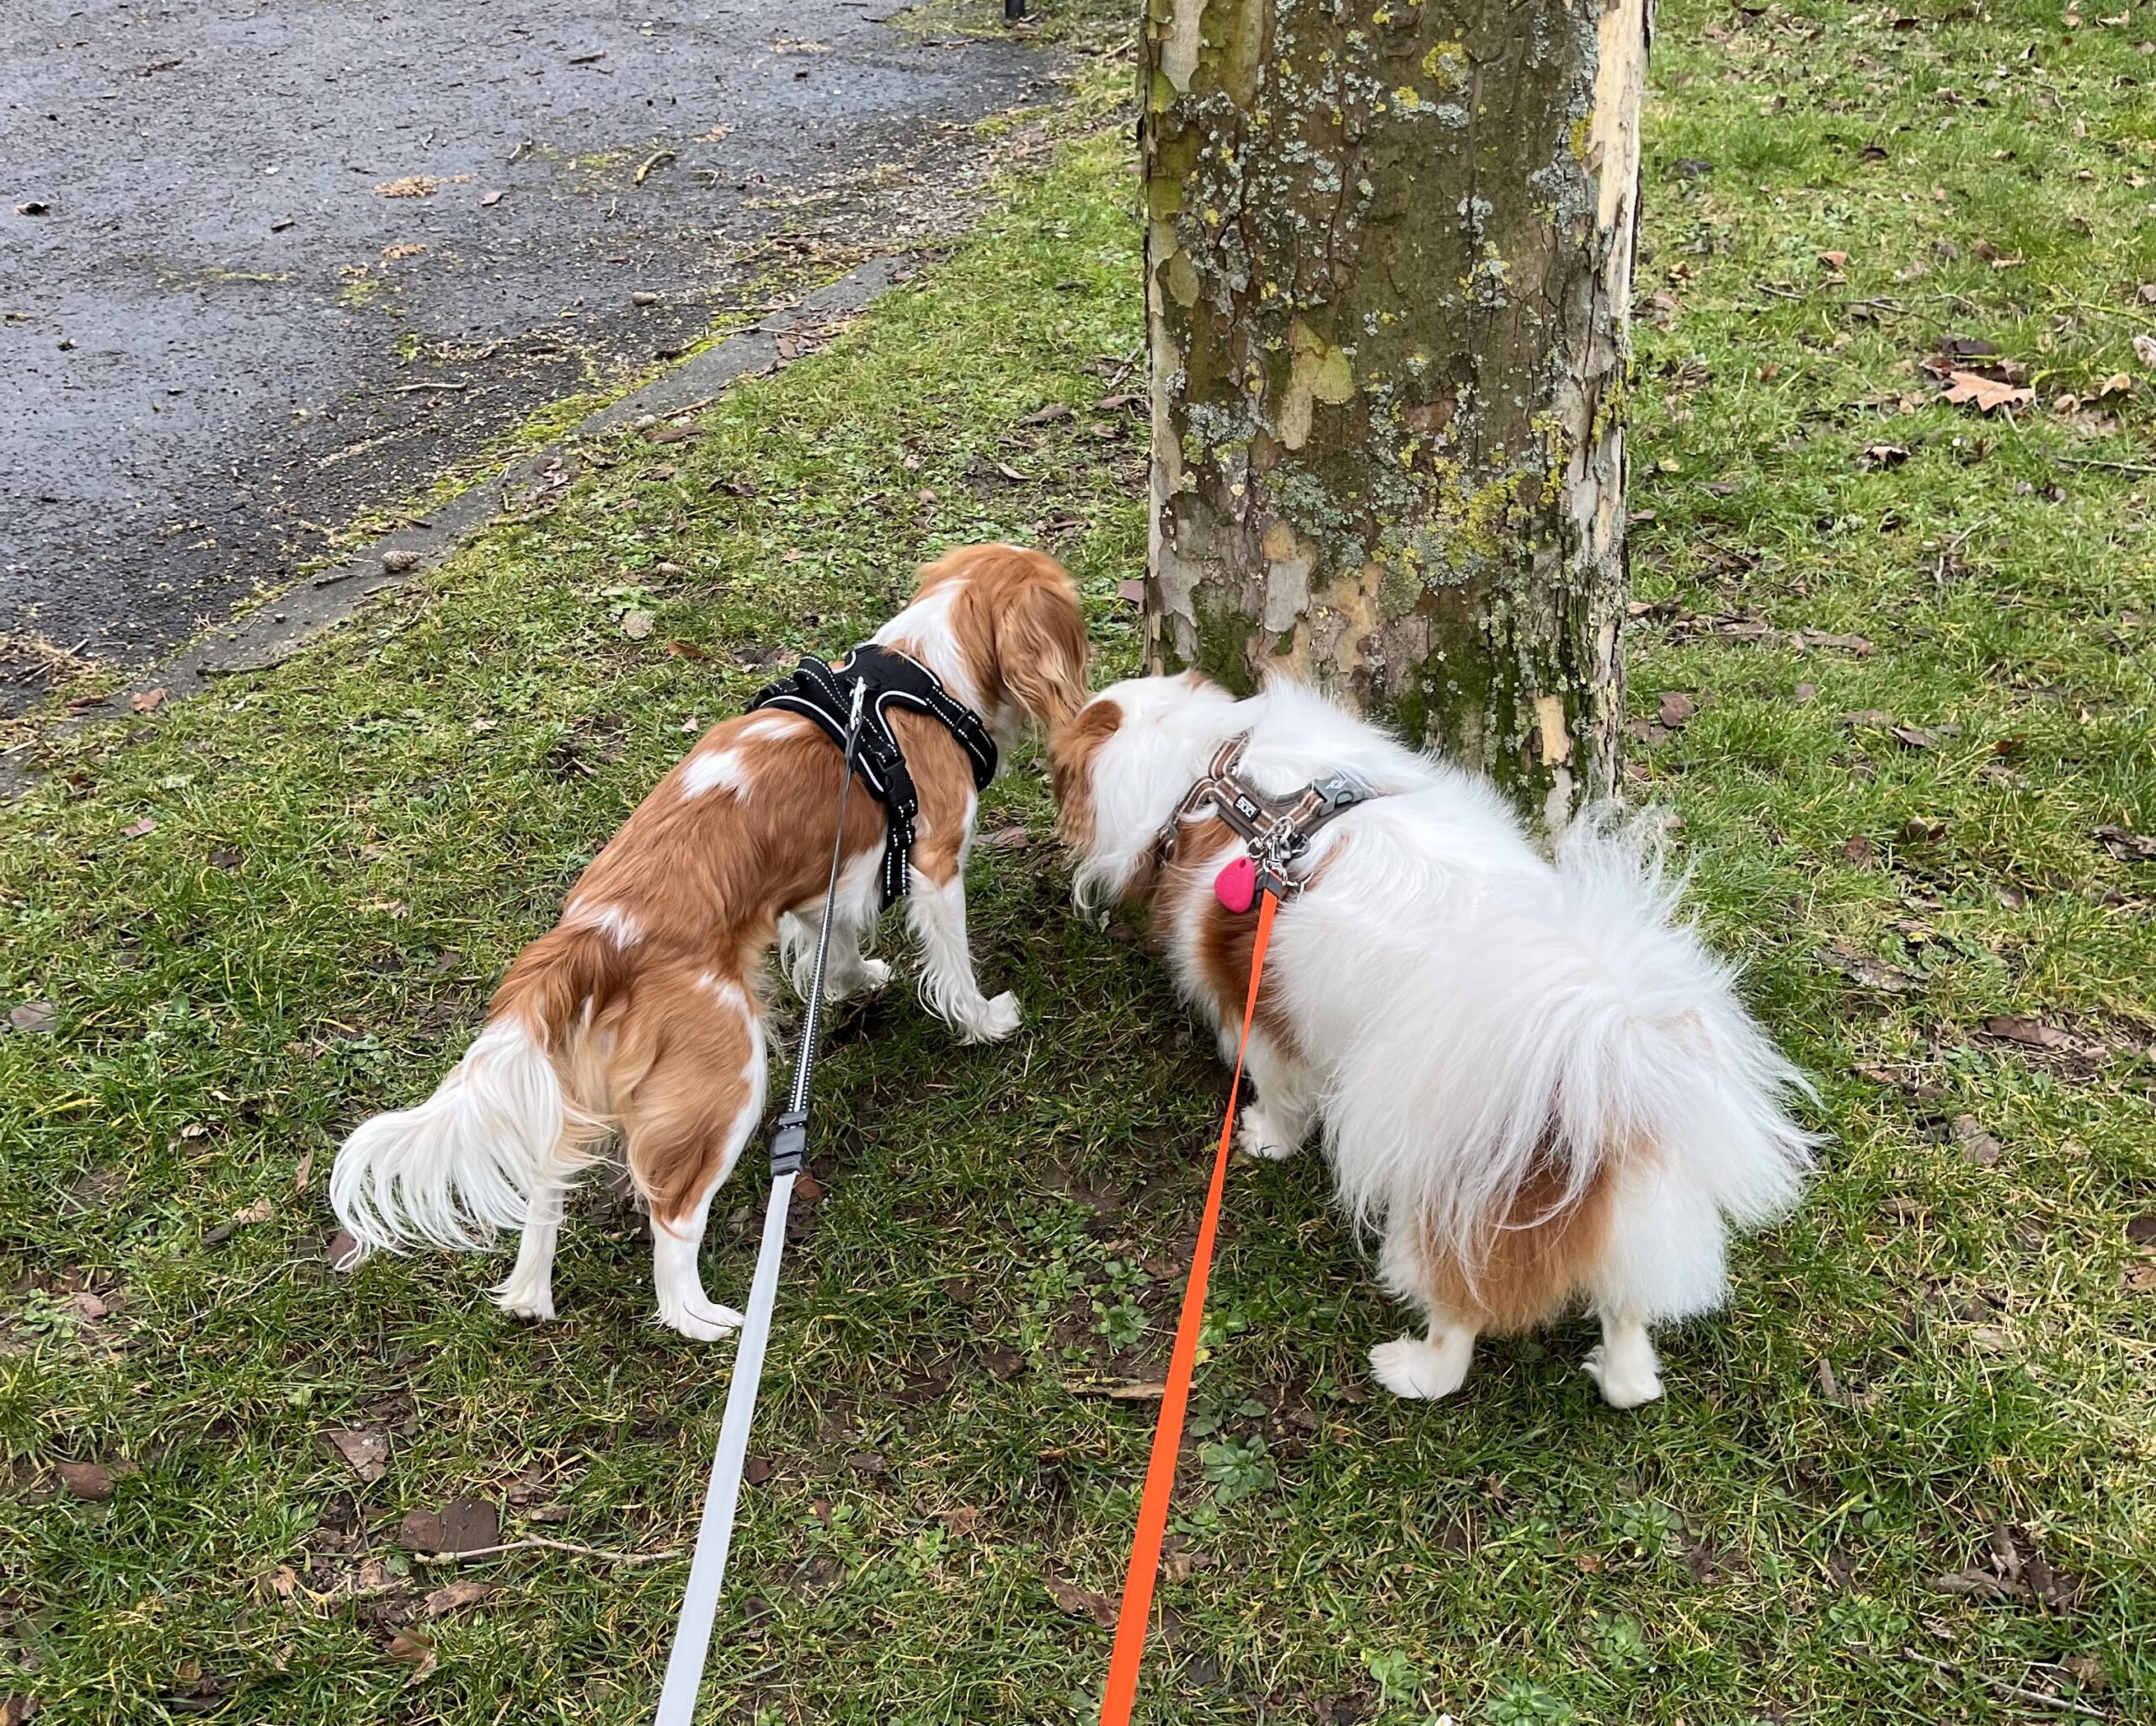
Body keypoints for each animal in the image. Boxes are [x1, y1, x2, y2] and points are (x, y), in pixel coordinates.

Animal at [332, 544, 1089, 1339]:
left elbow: (835, 947)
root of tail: (591, 937)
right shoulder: (934, 863)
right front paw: (985, 1021)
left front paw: (852, 982)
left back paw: (530, 1295)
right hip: (728, 1077)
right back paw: (698, 1319)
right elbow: (953, 965)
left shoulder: (827, 882)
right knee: (673, 1215)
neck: (919, 676)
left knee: (546, 1187)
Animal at [1050, 673, 1812, 1406]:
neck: (1222, 778)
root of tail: (1595, 1068)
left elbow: (1278, 1086)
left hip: (1439, 1212)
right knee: (1628, 1339)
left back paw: (1410, 1371)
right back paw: (1618, 1371)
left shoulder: (1261, 1014)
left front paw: (1266, 1138)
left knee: (1458, 1332)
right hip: (1627, 1221)